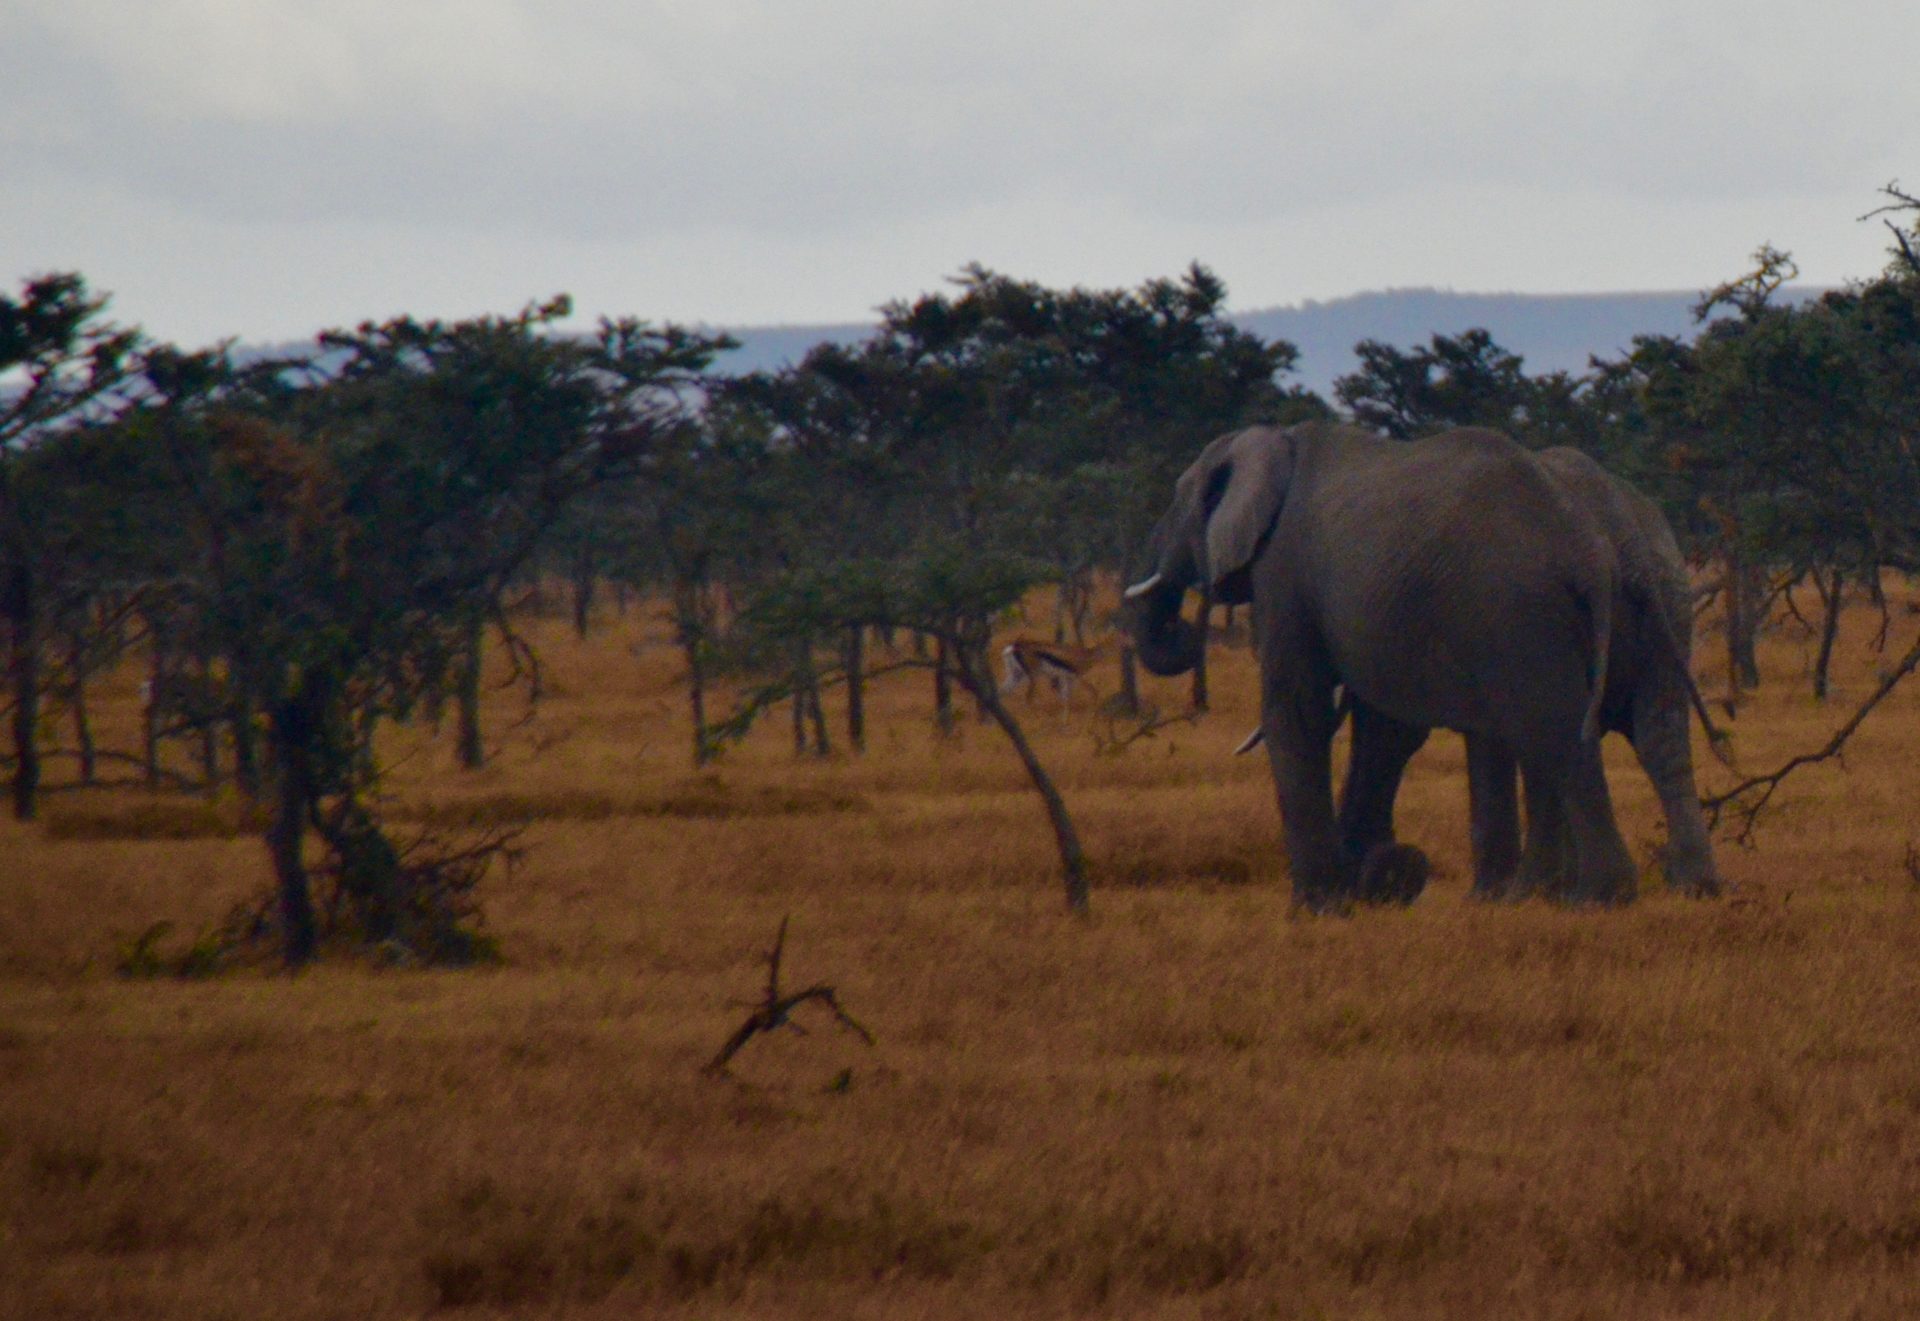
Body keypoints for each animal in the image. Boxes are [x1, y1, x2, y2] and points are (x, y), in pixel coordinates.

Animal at [1121, 420, 1643, 906]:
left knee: (1549, 726)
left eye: (1178, 501)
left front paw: (1316, 908)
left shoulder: (1283, 569)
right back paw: (1592, 894)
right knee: (1563, 730)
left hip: (1516, 608)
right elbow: (1386, 726)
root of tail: (1586, 553)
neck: (1273, 441)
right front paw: (1376, 879)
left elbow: (1297, 708)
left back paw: (1592, 897)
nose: (1184, 625)